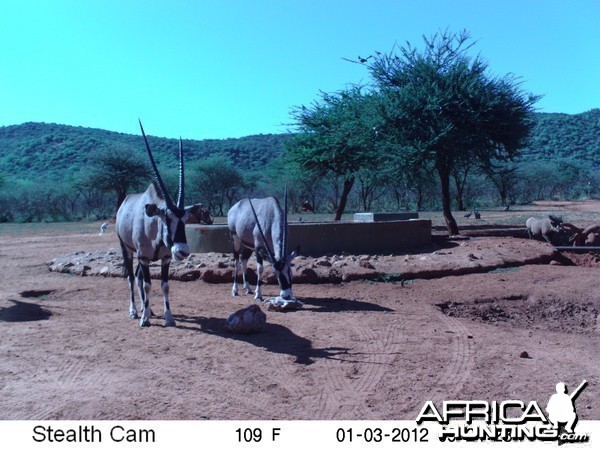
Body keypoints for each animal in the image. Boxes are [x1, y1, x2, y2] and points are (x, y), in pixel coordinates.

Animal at [116, 121, 212, 326]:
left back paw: (147, 309)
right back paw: (135, 311)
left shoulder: (165, 258)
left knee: (137, 276)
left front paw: (168, 317)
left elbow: (165, 285)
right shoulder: (144, 257)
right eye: (167, 219)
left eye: (185, 220)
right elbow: (147, 284)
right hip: (127, 249)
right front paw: (144, 319)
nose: (183, 251)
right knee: (131, 278)